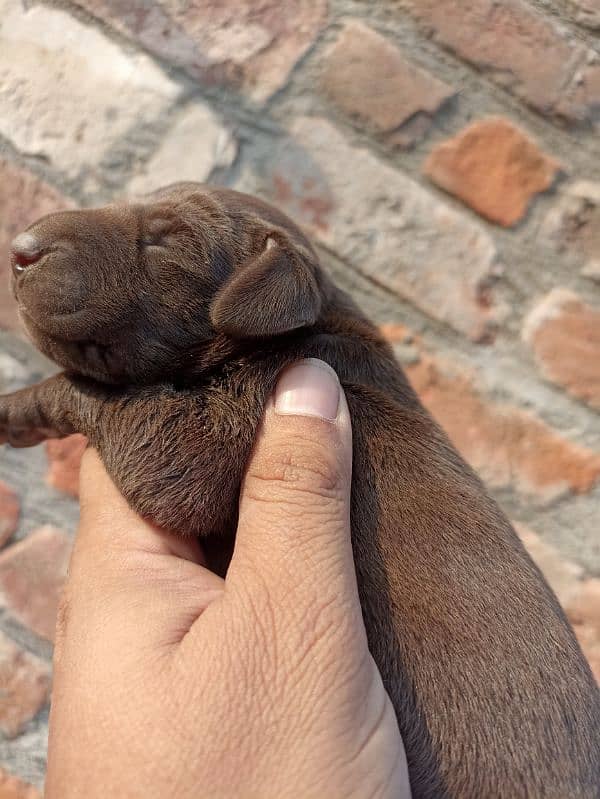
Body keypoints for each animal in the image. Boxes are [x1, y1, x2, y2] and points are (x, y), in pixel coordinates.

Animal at [1, 184, 600, 796]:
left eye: (168, 240)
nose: (20, 248)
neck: (309, 330)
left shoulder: (212, 436)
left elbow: (106, 406)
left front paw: (16, 408)